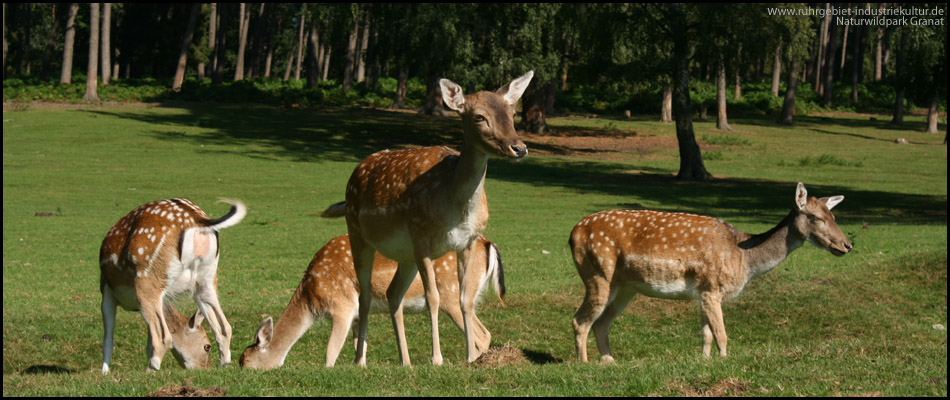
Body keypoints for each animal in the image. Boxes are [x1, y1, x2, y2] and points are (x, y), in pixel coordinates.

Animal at [99, 198, 247, 374]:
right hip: (206, 280)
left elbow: (108, 339)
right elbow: (147, 343)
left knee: (163, 338)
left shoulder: (106, 290)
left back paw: (150, 371)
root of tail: (197, 219)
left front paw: (104, 373)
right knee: (225, 328)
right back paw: (224, 364)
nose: (204, 369)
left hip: (146, 281)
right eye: (207, 346)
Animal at [238, 234, 506, 368]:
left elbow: (331, 351)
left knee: (481, 333)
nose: (240, 370)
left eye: (245, 362)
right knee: (483, 333)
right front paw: (360, 366)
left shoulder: (342, 305)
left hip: (452, 292)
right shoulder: (357, 313)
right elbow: (359, 344)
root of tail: (488, 244)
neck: (311, 295)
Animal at [322, 69, 536, 366]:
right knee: (365, 295)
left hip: (404, 254)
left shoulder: (468, 242)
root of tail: (357, 169)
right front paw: (437, 358)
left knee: (393, 293)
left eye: (512, 112)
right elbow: (433, 297)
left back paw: (406, 361)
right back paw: (360, 361)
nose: (519, 147)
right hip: (358, 232)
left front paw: (470, 357)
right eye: (479, 116)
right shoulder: (421, 237)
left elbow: (465, 300)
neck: (456, 209)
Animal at [572, 183, 856, 364]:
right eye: (816, 217)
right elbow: (722, 334)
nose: (847, 245)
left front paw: (705, 362)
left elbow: (706, 334)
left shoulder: (702, 292)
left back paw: (609, 362)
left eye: (834, 216)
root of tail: (573, 233)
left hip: (626, 287)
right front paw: (724, 361)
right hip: (598, 272)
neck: (744, 258)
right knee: (580, 320)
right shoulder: (712, 287)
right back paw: (584, 365)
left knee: (601, 322)